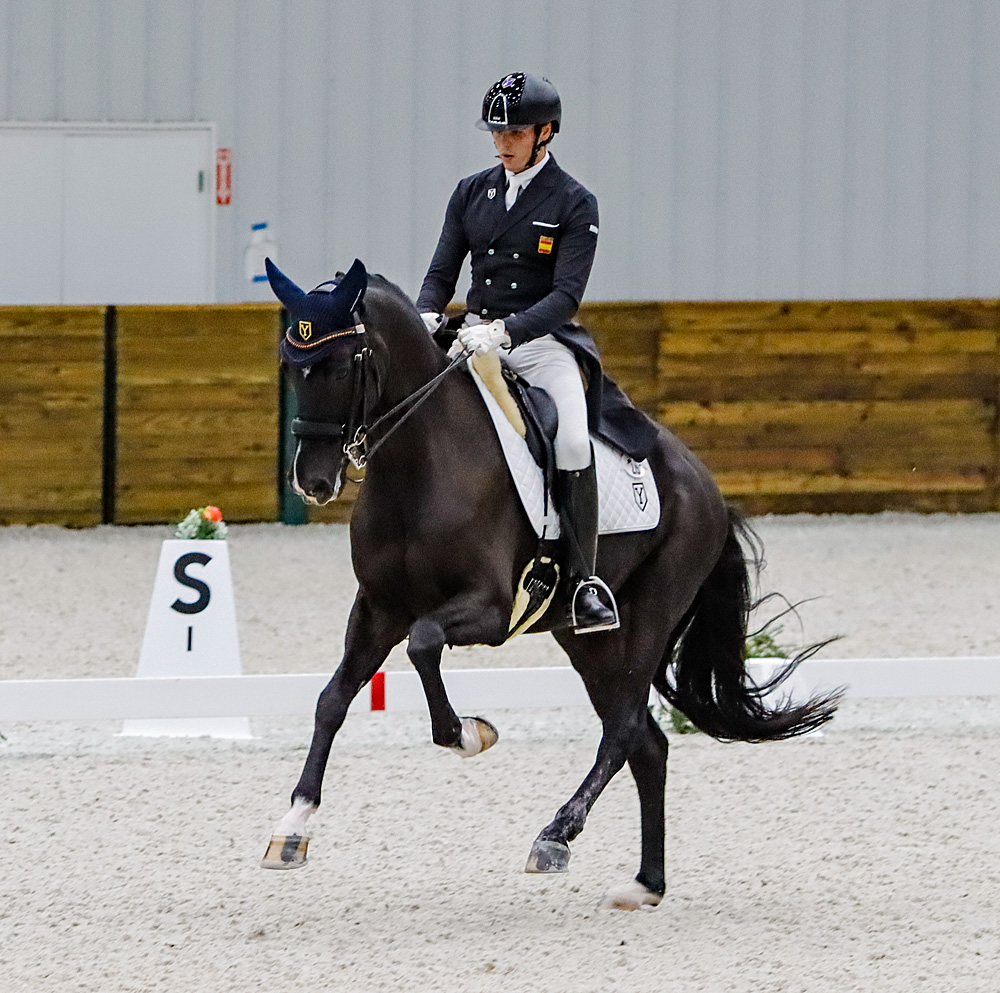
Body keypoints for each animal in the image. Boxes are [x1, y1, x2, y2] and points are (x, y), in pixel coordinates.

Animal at [258, 260, 836, 912]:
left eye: (340, 364)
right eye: (290, 365)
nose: (312, 483)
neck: (421, 461)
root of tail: (707, 486)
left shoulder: (489, 610)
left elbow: (425, 644)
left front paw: (471, 735)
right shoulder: (378, 607)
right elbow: (332, 699)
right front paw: (293, 827)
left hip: (650, 614)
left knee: (624, 730)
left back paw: (556, 834)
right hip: (588, 640)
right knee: (647, 744)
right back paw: (645, 884)